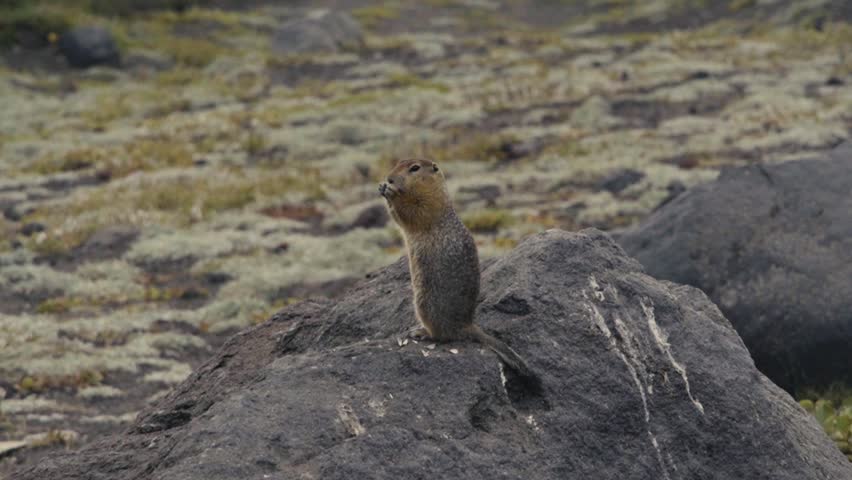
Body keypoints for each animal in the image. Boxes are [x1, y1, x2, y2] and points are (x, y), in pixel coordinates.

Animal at [379, 158, 537, 381]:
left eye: (414, 168)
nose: (389, 178)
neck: (433, 189)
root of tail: (466, 325)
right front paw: (383, 187)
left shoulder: (429, 205)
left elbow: (411, 213)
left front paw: (390, 192)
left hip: (425, 304)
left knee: (442, 336)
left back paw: (421, 332)